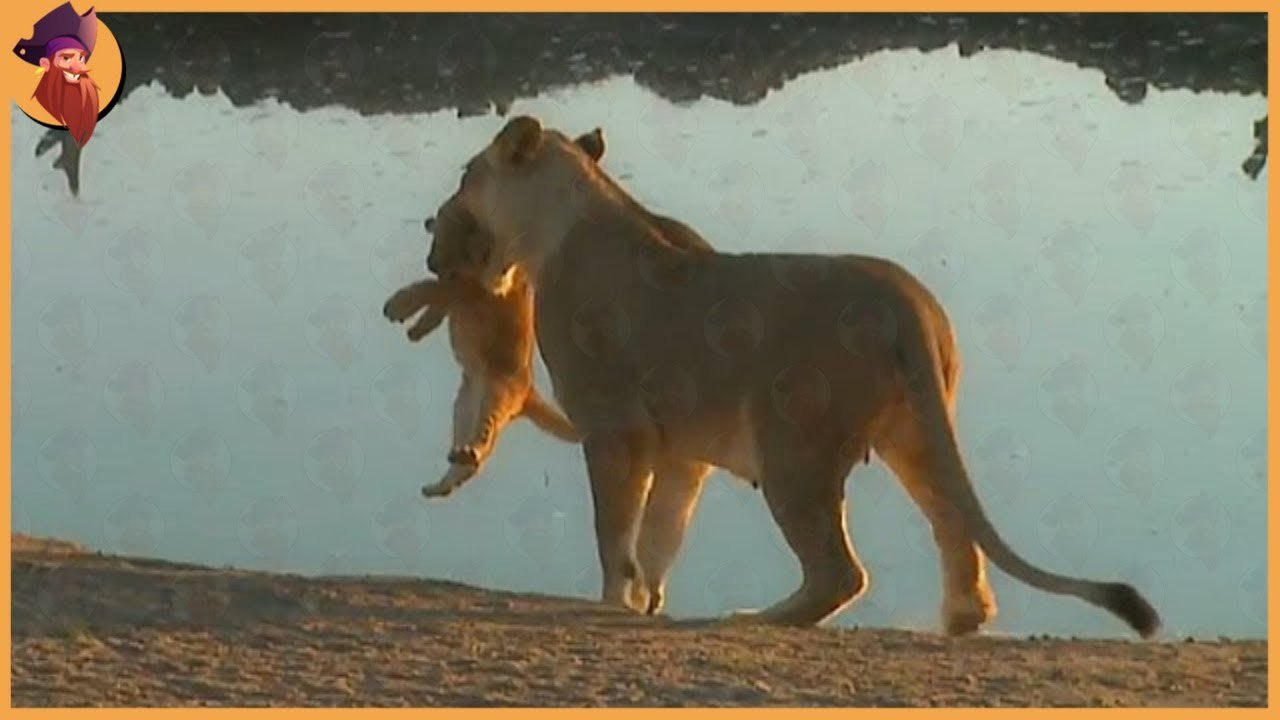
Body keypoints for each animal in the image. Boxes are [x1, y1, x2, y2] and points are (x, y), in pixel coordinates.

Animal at [427, 115, 1162, 639]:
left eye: (466, 176)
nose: (434, 226)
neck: (566, 220)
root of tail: (905, 301)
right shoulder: (683, 448)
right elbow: (663, 530)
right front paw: (647, 600)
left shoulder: (615, 430)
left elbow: (616, 530)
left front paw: (615, 602)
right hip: (912, 435)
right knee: (953, 527)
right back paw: (957, 620)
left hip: (793, 446)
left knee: (840, 572)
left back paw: (757, 618)